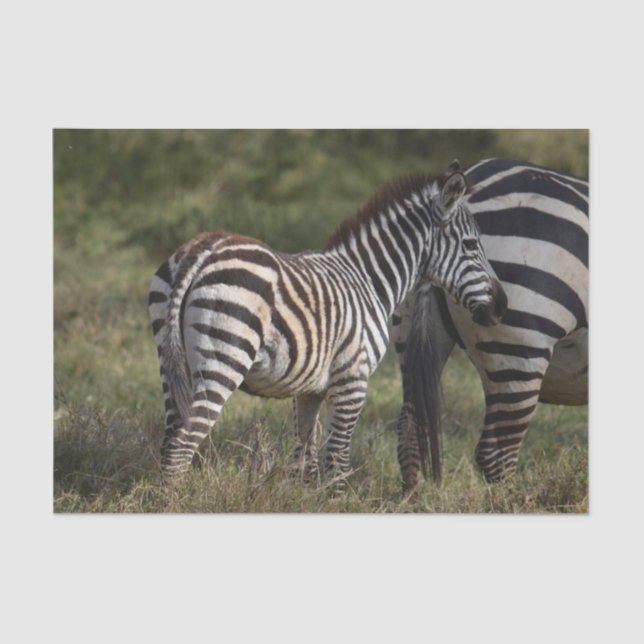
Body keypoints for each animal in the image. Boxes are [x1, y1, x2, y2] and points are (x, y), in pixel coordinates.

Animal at [148, 161, 508, 487]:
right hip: (223, 359)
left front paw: (298, 499)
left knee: (168, 441)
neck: (369, 280)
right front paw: (337, 499)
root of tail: (203, 250)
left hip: (170, 363)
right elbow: (337, 459)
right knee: (181, 446)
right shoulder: (352, 379)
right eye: (471, 245)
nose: (501, 306)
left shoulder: (310, 390)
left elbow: (303, 458)